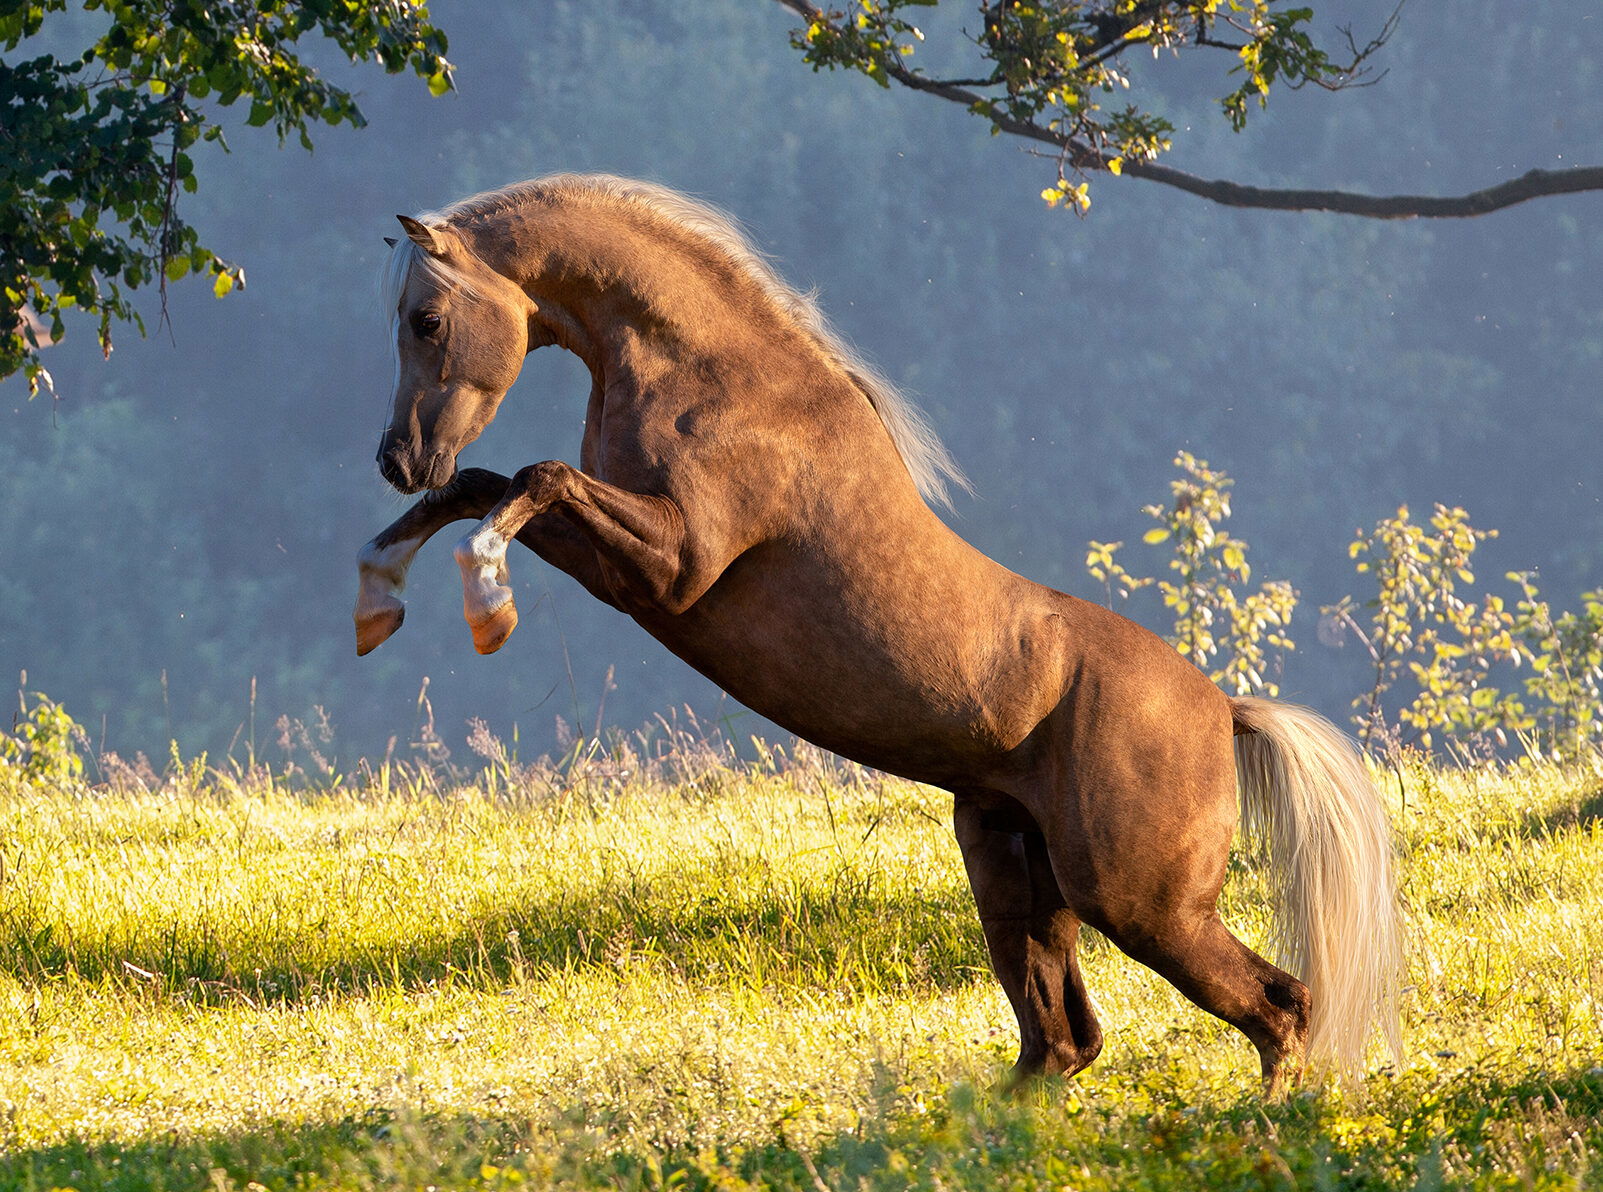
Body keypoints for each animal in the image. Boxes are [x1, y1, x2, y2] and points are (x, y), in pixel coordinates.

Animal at [353, 173, 1401, 1092]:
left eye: (426, 320)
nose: (396, 459)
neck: (717, 380)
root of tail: (1221, 707)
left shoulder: (672, 567)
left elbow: (530, 481)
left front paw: (486, 604)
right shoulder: (629, 564)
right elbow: (483, 484)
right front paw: (377, 600)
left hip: (1140, 902)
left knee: (1279, 1006)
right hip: (1013, 871)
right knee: (1062, 1042)